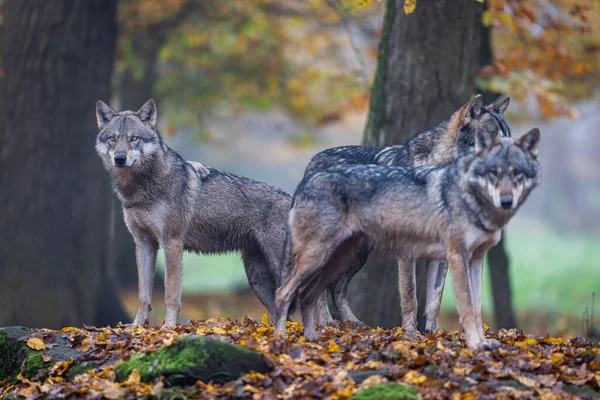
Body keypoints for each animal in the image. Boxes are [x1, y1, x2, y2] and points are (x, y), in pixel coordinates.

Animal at [95, 98, 292, 326]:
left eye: (134, 138)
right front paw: (137, 326)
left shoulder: (172, 242)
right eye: (113, 139)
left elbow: (171, 292)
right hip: (258, 279)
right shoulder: (144, 243)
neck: (140, 189)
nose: (119, 158)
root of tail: (292, 198)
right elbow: (143, 294)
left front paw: (169, 327)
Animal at [274, 126, 540, 348]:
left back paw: (312, 338)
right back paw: (282, 340)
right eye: (494, 173)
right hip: (320, 257)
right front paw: (474, 345)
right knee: (285, 292)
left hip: (342, 260)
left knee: (311, 294)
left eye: (516, 173)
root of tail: (307, 180)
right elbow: (458, 305)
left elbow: (472, 306)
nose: (506, 201)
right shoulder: (454, 257)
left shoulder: (474, 259)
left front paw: (480, 343)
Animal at [288, 94, 512, 332]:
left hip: (357, 255)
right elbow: (411, 296)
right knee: (317, 288)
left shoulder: (443, 253)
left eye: (509, 139)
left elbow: (435, 299)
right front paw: (411, 332)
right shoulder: (407, 252)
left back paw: (351, 323)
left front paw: (434, 333)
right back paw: (326, 323)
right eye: (493, 140)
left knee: (337, 289)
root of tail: (311, 163)